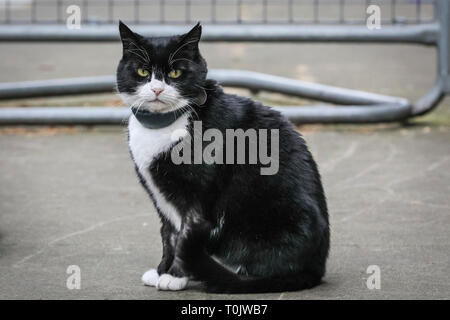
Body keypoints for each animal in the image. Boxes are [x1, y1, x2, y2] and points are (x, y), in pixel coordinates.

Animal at [116, 21, 328, 294]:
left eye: (176, 73)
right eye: (143, 71)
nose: (157, 89)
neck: (163, 125)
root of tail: (315, 269)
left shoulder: (198, 194)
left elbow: (185, 232)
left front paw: (175, 275)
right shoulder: (160, 196)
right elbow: (168, 233)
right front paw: (162, 270)